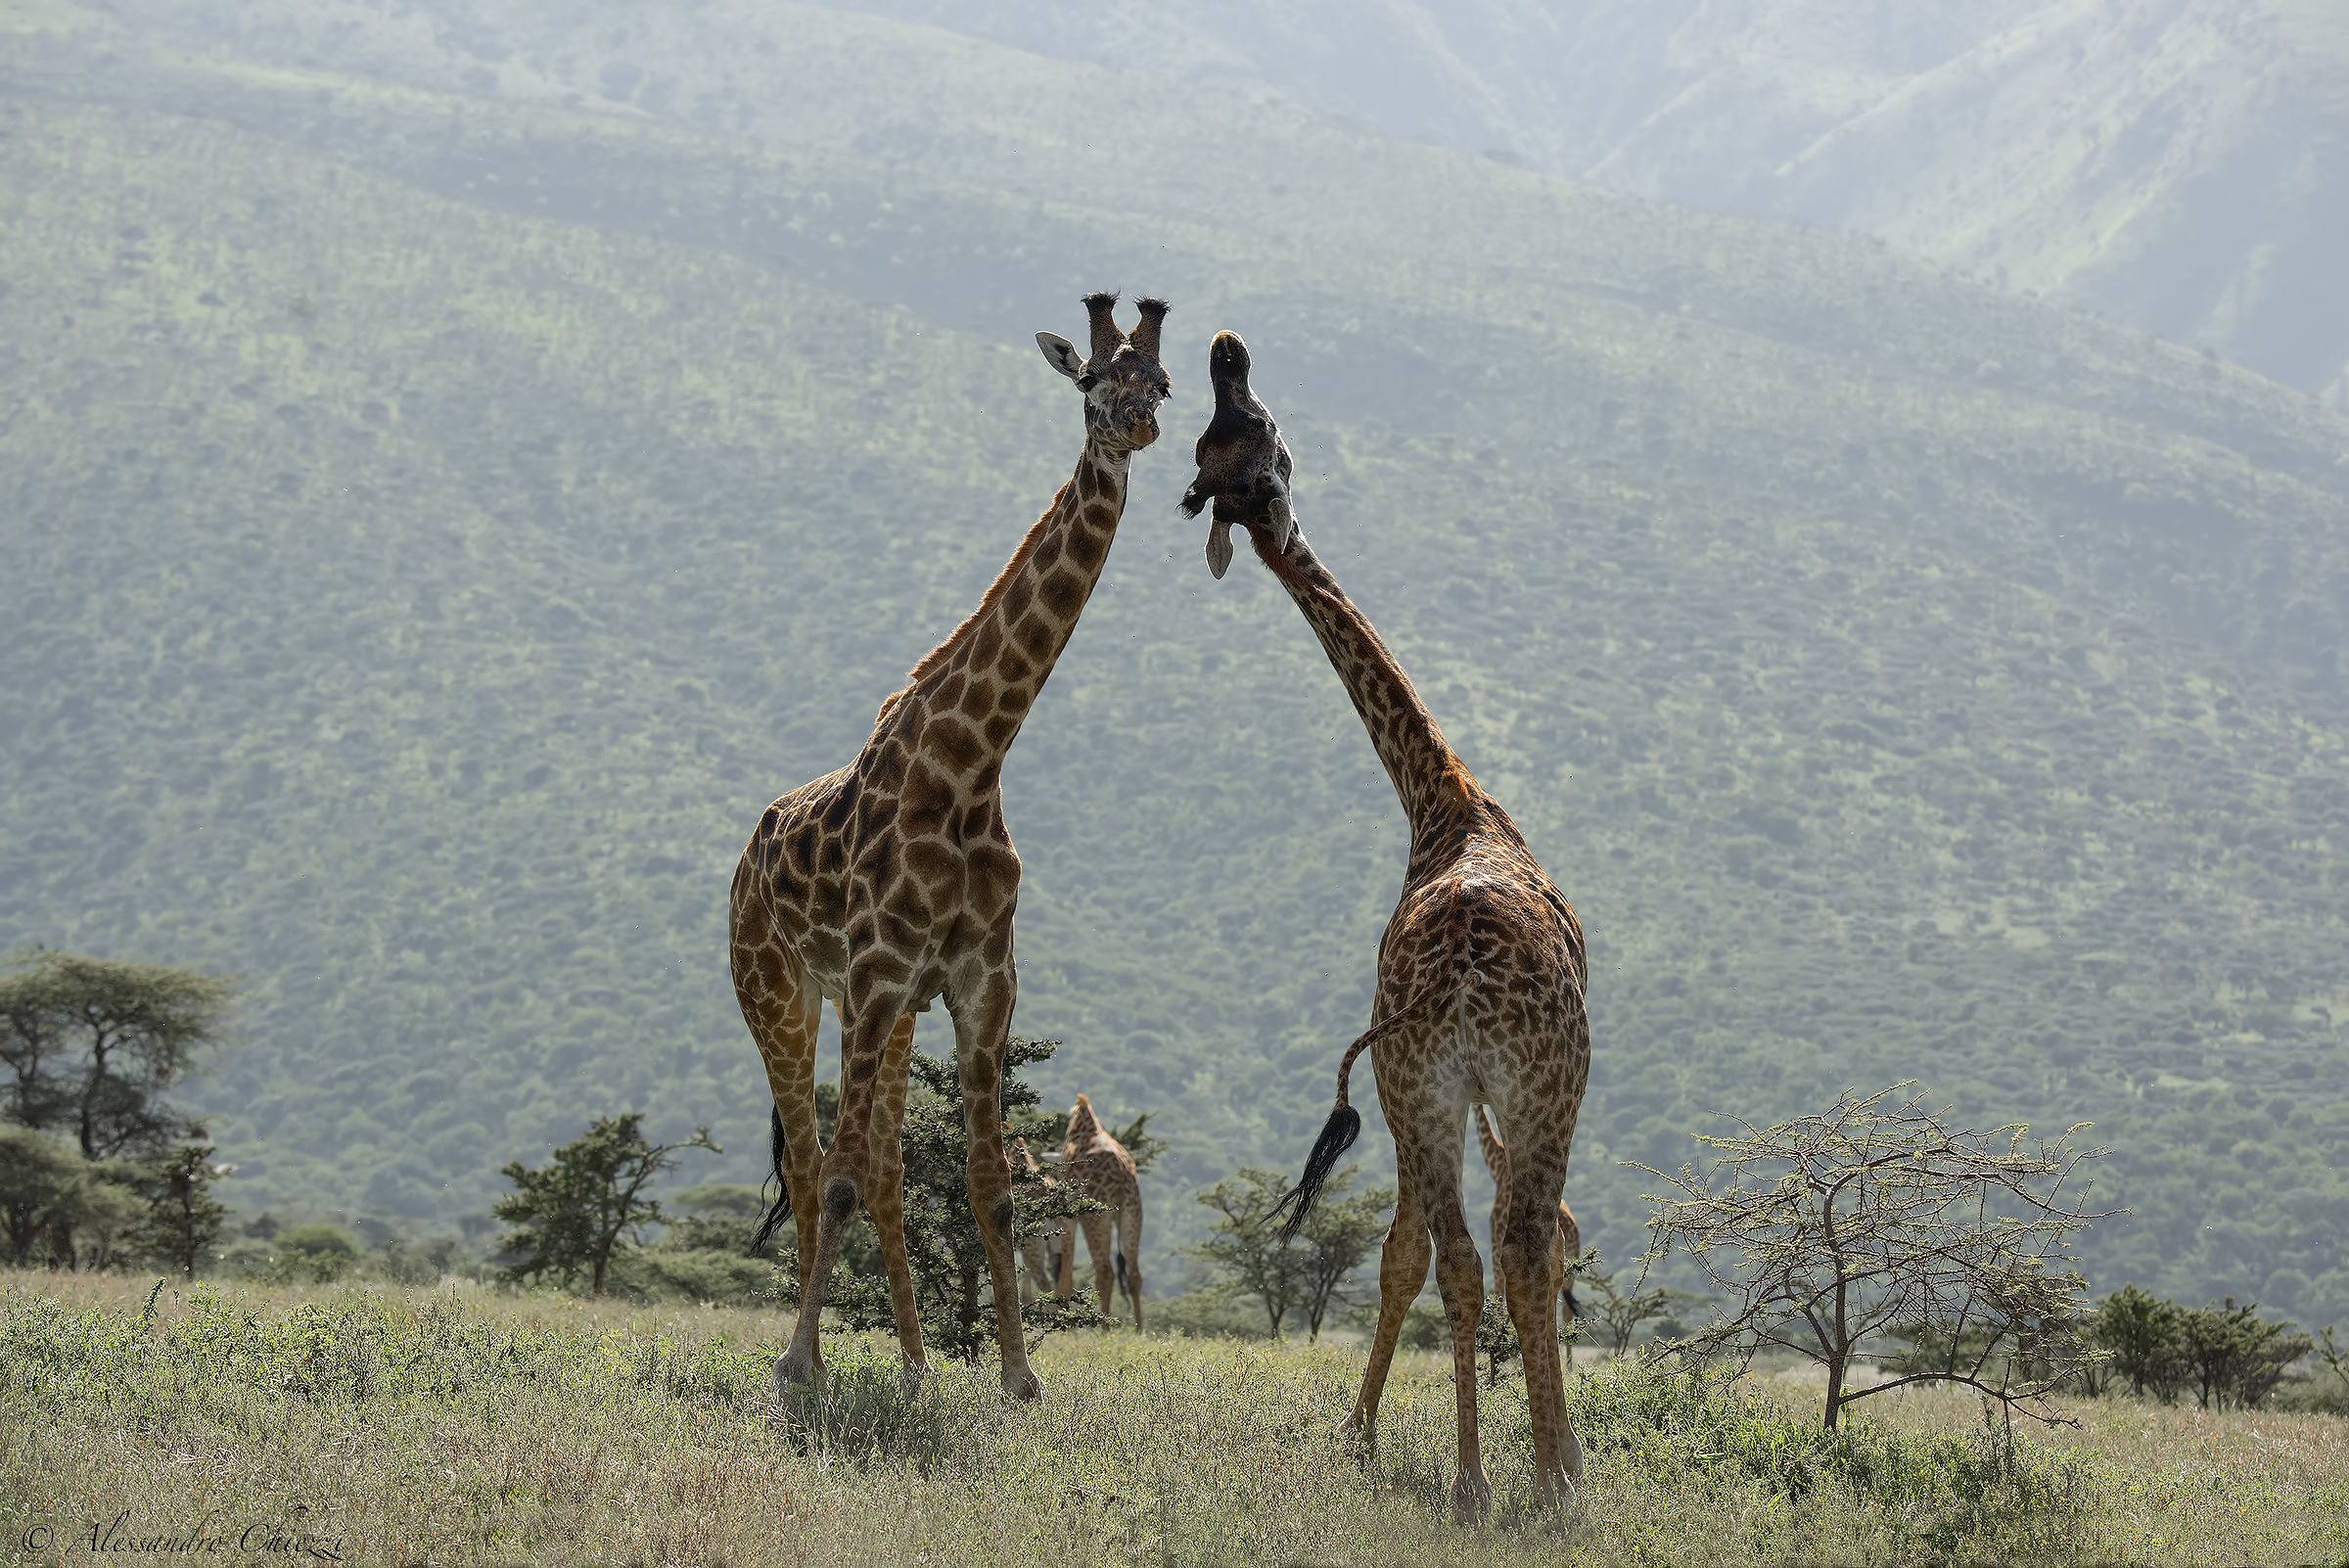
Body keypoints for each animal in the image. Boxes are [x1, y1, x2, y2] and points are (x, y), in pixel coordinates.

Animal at [1051, 1093, 1145, 1329]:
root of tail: (1122, 1172)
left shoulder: (1068, 1211)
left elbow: (1066, 1270)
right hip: (1132, 1209)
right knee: (1134, 1274)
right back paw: (1139, 1329)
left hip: (1096, 1214)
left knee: (1105, 1271)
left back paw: (1104, 1329)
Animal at [1475, 1104, 1584, 1335]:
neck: (1497, 1168)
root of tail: (1572, 1231)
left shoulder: (1495, 1239)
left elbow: (1498, 1297)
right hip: (1571, 1265)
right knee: (1565, 1307)